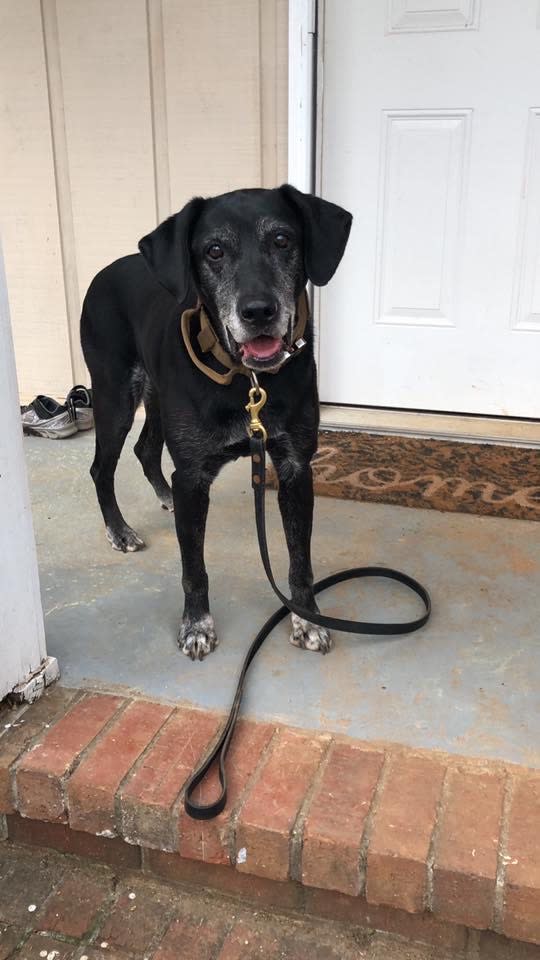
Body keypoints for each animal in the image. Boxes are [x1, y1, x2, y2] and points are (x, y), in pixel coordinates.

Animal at [79, 184, 350, 656]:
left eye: (282, 240)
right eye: (214, 250)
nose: (258, 312)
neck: (248, 381)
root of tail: (101, 274)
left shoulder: (295, 467)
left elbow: (300, 558)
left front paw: (306, 617)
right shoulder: (193, 474)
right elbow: (194, 567)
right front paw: (197, 624)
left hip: (155, 396)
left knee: (145, 448)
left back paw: (165, 497)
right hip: (115, 396)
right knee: (101, 468)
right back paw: (120, 531)